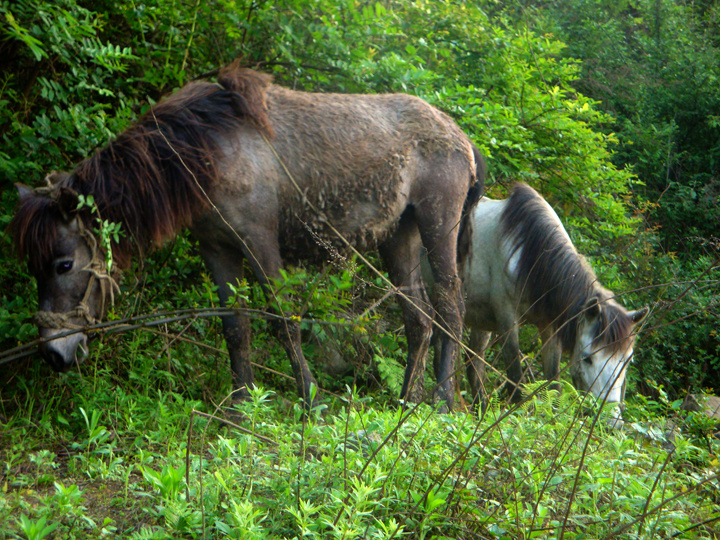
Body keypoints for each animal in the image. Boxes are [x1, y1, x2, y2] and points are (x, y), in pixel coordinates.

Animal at [9, 61, 484, 412]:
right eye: (30, 267)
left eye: (64, 263)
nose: (54, 354)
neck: (206, 150)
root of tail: (460, 136)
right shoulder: (217, 250)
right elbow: (235, 328)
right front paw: (240, 408)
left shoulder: (259, 243)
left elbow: (283, 321)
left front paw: (312, 403)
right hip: (398, 237)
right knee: (418, 318)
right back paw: (406, 402)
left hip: (437, 227)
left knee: (451, 308)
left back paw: (442, 401)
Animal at [452, 184, 644, 424]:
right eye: (587, 359)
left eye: (627, 361)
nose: (610, 421)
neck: (528, 256)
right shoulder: (507, 322)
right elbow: (516, 380)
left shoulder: (550, 329)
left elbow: (554, 385)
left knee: (473, 365)